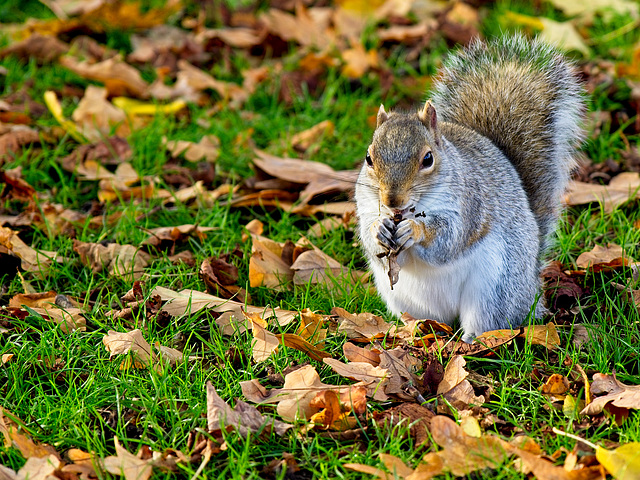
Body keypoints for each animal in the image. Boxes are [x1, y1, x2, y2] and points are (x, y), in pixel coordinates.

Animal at [356, 35, 584, 342]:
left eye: (428, 159)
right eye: (369, 158)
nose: (392, 200)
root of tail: (531, 291)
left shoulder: (470, 204)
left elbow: (450, 238)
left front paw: (414, 230)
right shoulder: (366, 205)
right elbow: (371, 240)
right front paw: (378, 229)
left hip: (496, 289)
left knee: (488, 322)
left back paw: (470, 343)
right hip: (403, 297)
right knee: (425, 319)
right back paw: (413, 332)